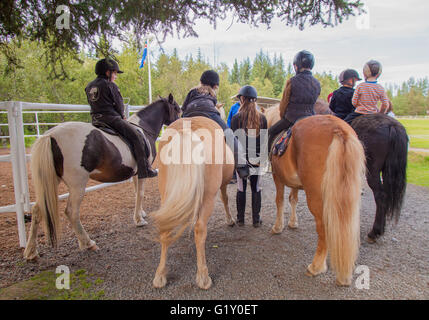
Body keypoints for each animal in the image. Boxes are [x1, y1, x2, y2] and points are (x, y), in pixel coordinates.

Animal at [23, 94, 181, 260]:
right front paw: (139, 220)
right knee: (71, 212)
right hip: (77, 184)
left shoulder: (136, 173)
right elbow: (141, 193)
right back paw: (87, 243)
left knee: (37, 210)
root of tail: (51, 135)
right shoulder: (143, 172)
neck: (143, 128)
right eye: (177, 108)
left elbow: (137, 193)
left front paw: (141, 213)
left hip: (52, 180)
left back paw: (31, 251)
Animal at [148, 116, 234, 288]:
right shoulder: (222, 185)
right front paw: (230, 220)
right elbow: (225, 198)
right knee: (200, 229)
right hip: (208, 197)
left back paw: (160, 275)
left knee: (165, 228)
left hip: (166, 195)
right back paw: (203, 276)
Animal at [264, 101, 408, 241]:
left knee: (380, 196)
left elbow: (281, 199)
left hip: (372, 171)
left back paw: (374, 231)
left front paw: (279, 227)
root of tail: (392, 125)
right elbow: (293, 198)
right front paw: (292, 222)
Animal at [270, 116, 364, 286]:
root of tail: (338, 128)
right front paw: (293, 223)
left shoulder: (277, 177)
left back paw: (316, 267)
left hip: (317, 199)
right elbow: (293, 199)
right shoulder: (295, 184)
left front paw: (278, 227)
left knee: (324, 229)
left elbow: (279, 201)